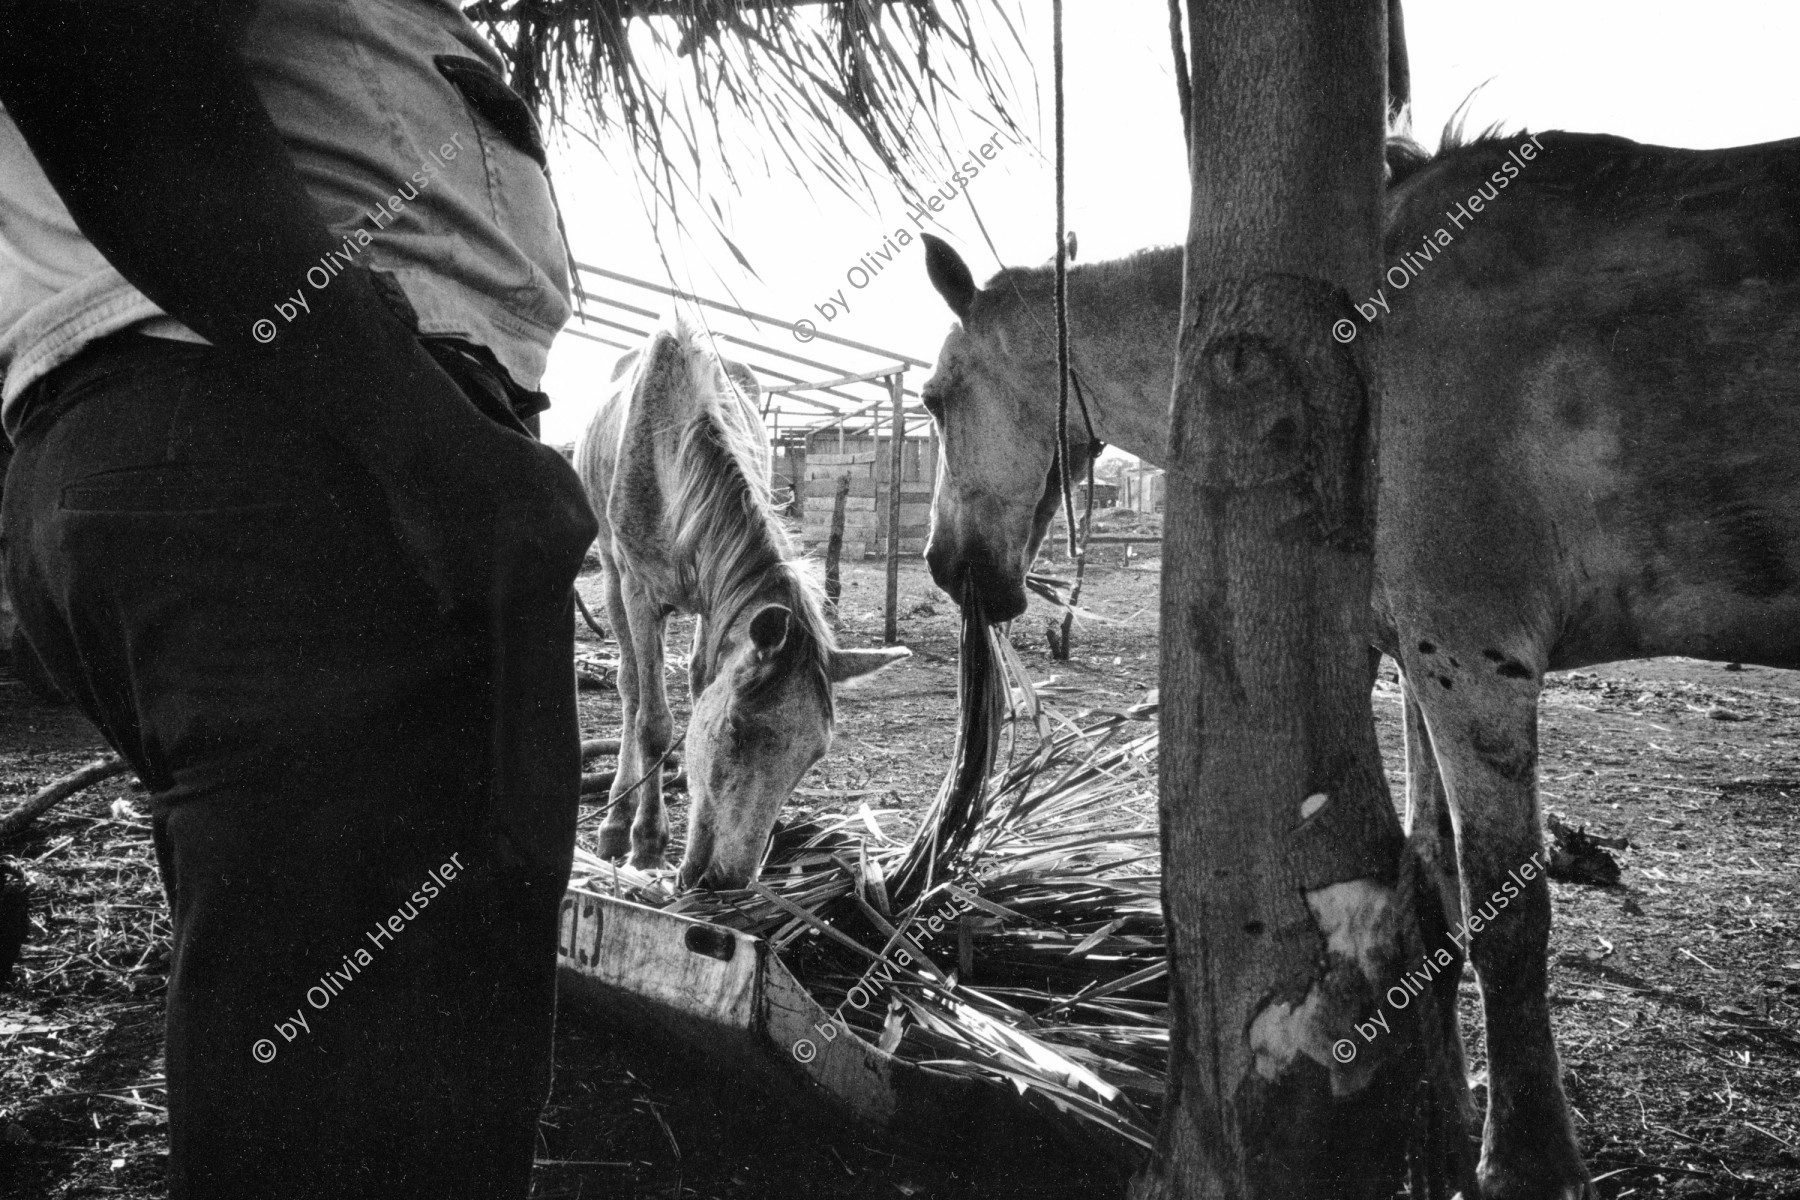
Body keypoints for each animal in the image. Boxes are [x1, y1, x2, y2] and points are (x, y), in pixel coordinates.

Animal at [576, 323, 914, 888]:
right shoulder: (639, 591)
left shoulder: (717, 604)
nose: (728, 877)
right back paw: (616, 820)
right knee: (628, 689)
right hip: (609, 568)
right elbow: (652, 721)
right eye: (735, 731)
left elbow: (699, 687)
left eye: (815, 754)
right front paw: (647, 842)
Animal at [921, 131, 1800, 1200]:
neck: (1364, 351)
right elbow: (1437, 893)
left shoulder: (1475, 655)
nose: (948, 567)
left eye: (934, 401)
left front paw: (1525, 1162)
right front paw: (1447, 1134)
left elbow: (1510, 916)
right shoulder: (1426, 666)